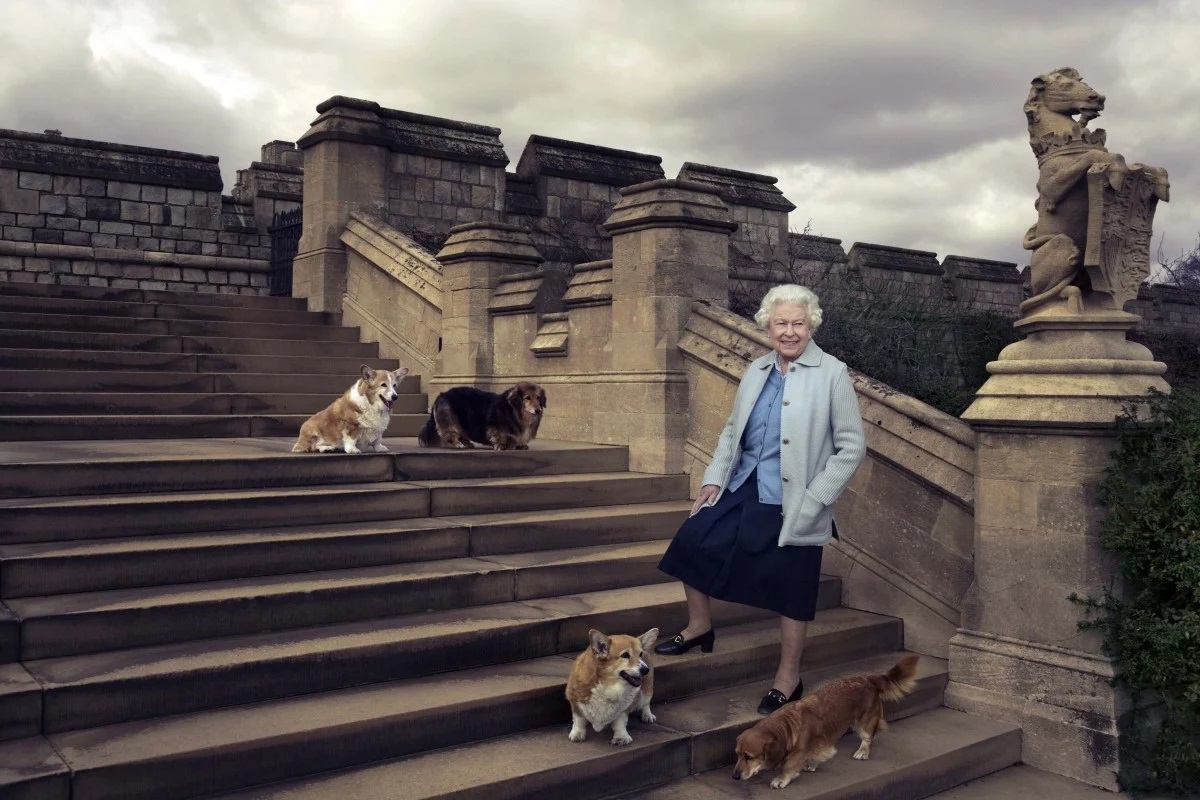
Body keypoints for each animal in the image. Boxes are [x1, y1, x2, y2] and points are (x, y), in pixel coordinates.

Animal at [729, 652, 916, 791]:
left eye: (749, 757)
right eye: (737, 754)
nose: (734, 776)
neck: (787, 725)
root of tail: (868, 679)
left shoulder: (799, 750)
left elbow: (788, 765)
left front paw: (781, 779)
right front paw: (812, 763)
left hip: (864, 722)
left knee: (868, 737)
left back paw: (863, 751)